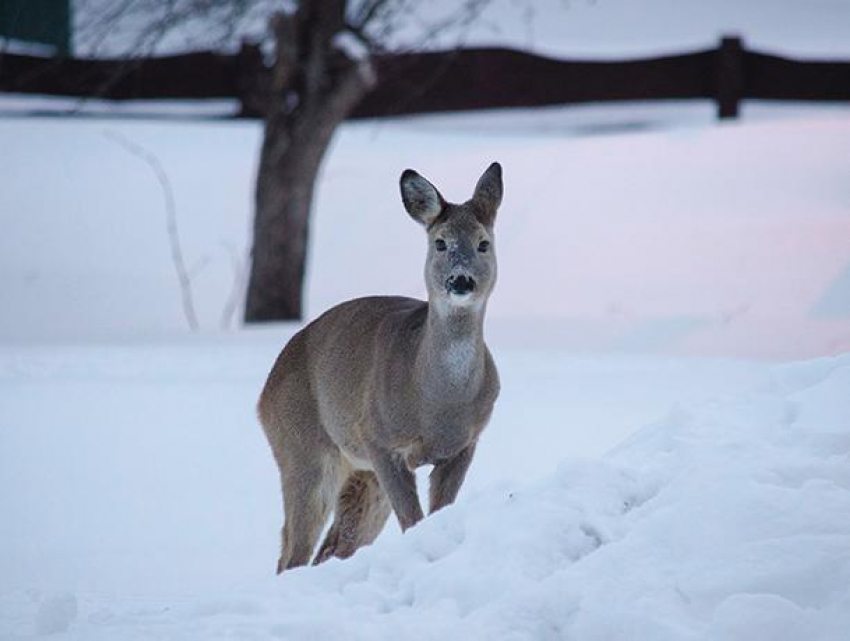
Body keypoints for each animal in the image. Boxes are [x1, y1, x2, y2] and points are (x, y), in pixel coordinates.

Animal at [255, 162, 500, 572]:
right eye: (440, 242)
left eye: (484, 243)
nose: (461, 280)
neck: (436, 401)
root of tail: (264, 394)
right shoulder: (379, 440)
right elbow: (413, 521)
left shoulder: (465, 444)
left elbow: (436, 515)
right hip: (302, 448)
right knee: (292, 552)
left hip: (360, 474)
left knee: (332, 548)